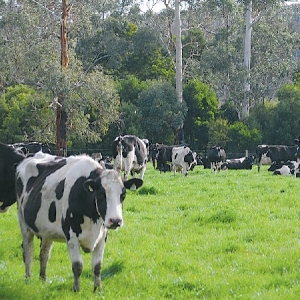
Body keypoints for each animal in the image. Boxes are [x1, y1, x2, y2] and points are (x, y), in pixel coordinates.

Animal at [16, 152, 143, 290]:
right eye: (101, 194)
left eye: (123, 195)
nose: (115, 221)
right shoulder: (71, 236)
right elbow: (77, 266)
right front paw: (76, 289)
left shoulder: (103, 235)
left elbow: (97, 266)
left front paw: (98, 289)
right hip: (23, 224)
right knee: (28, 251)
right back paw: (28, 278)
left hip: (46, 230)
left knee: (44, 254)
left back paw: (43, 280)